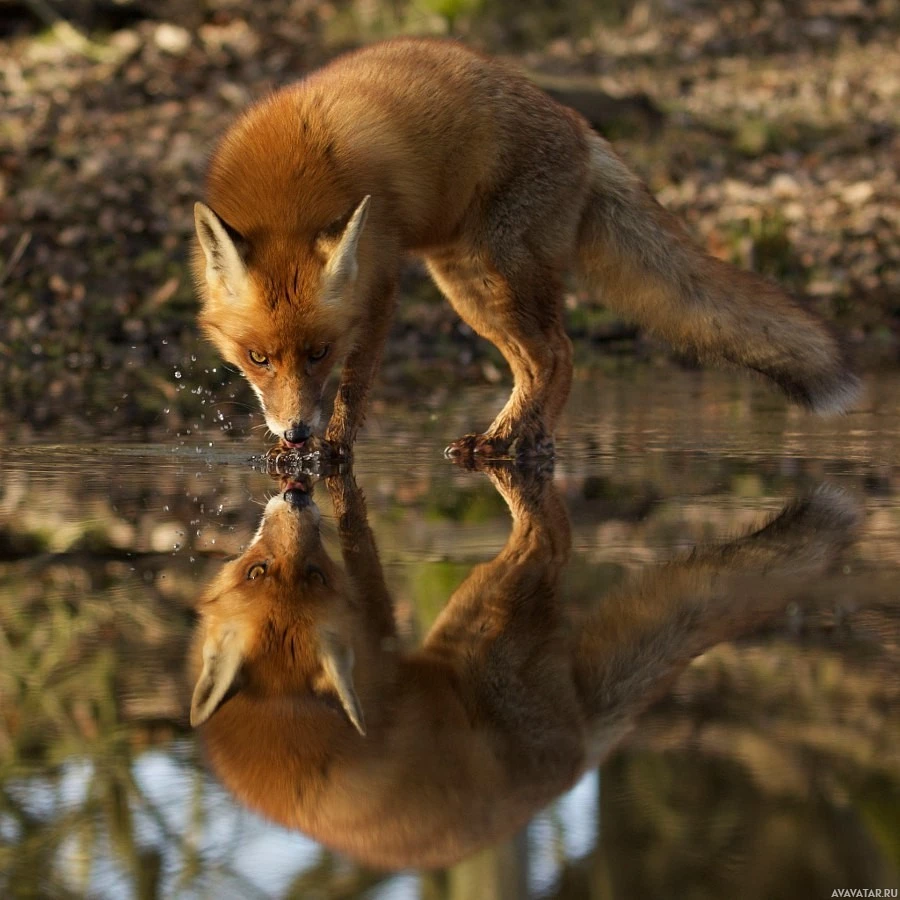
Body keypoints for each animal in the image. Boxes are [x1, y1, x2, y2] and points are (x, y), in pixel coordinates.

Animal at [188, 468, 856, 868]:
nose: (298, 493)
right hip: (489, 604)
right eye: (259, 571)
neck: (284, 713)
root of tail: (574, 765)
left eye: (314, 576)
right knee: (549, 539)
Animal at [195, 38, 856, 458]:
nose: (296, 434)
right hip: (466, 284)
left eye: (319, 353)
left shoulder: (380, 284)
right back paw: (513, 436)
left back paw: (519, 443)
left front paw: (332, 451)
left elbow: (355, 386)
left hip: (498, 274)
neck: (289, 190)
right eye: (258, 358)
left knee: (559, 354)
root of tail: (581, 127)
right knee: (533, 363)